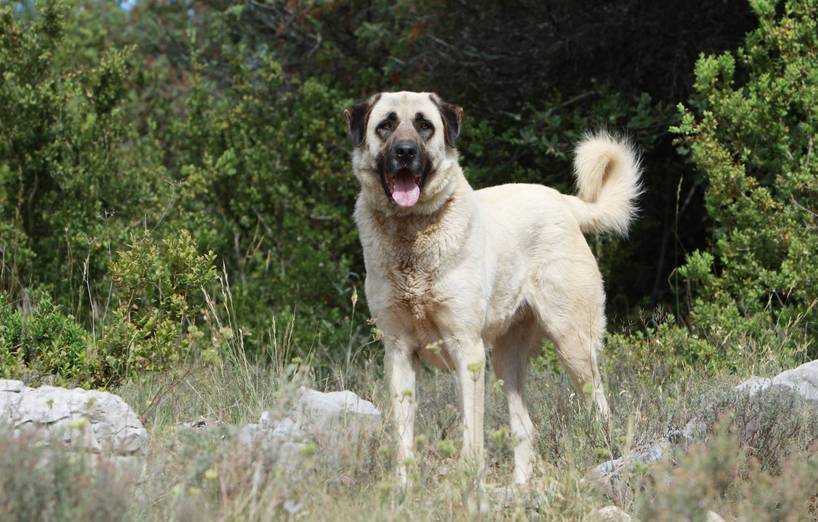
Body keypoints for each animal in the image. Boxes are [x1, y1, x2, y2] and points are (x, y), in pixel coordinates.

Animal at [342, 90, 640, 484]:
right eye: (386, 125)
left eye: (424, 125)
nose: (405, 152)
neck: (412, 235)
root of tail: (562, 200)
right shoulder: (399, 352)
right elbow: (403, 438)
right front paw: (403, 489)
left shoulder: (466, 349)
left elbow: (472, 434)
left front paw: (470, 485)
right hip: (505, 360)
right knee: (525, 427)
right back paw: (521, 488)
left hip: (573, 343)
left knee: (600, 407)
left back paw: (608, 458)